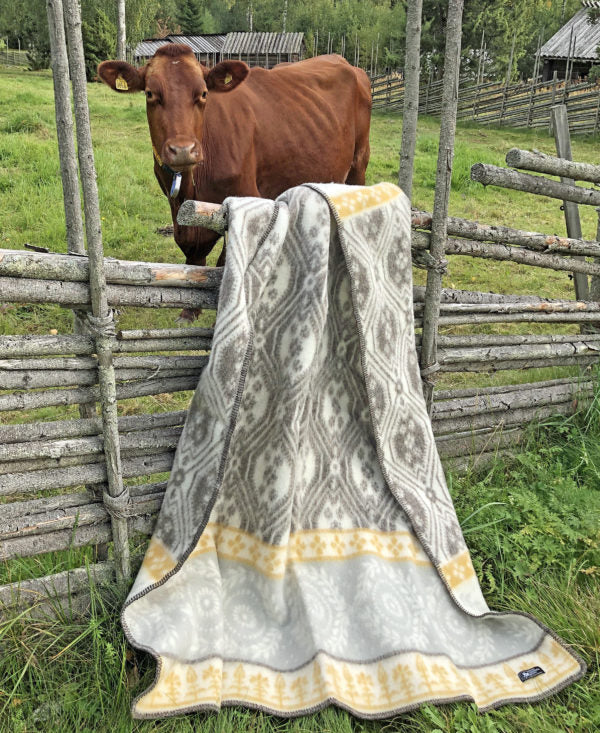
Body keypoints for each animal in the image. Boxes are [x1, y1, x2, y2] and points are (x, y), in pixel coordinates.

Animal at [98, 46, 371, 317]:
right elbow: (192, 251)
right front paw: (190, 309)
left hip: (359, 163)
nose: (183, 150)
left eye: (204, 94)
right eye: (150, 93)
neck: (192, 186)